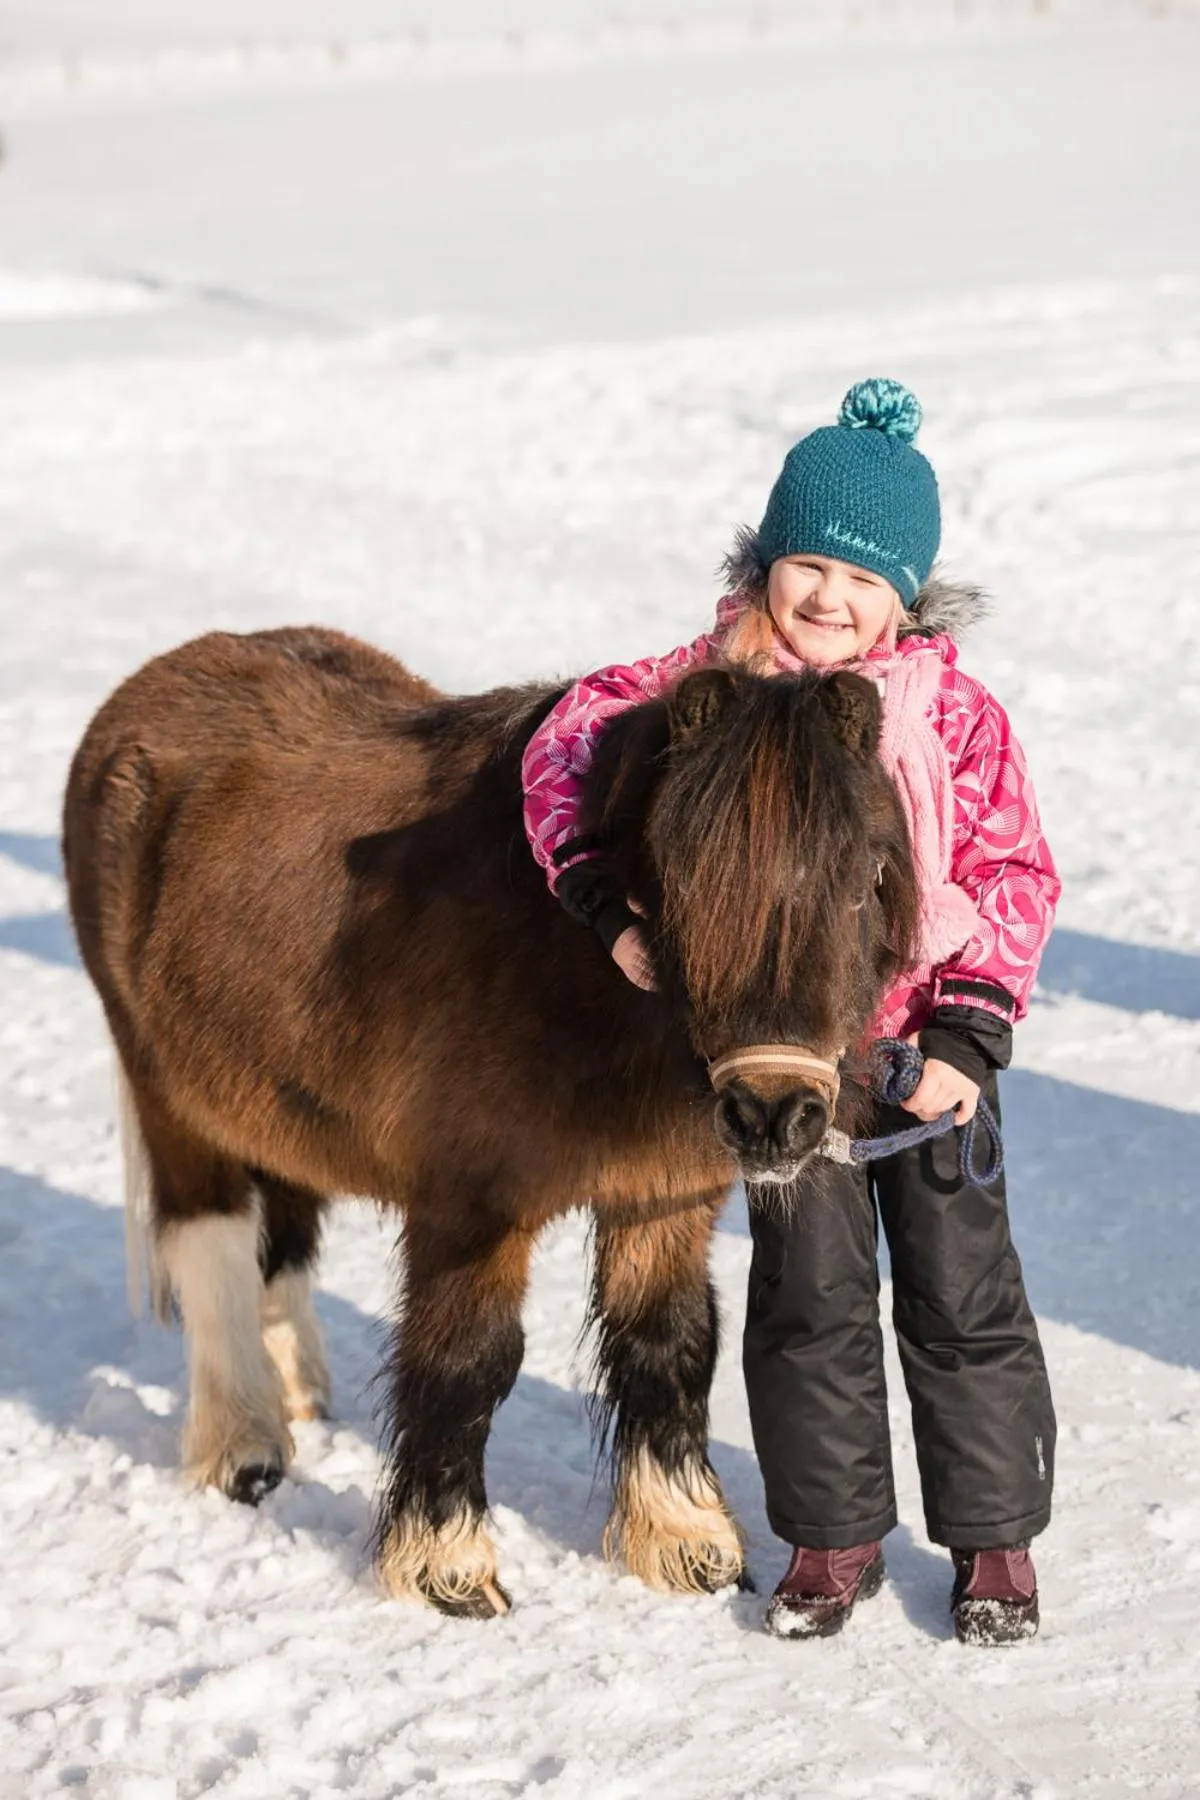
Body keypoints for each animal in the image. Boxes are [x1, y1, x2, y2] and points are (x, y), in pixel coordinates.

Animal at [62, 625, 919, 1618]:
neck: (573, 968)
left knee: (283, 1228)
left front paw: (685, 1542)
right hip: (169, 1097)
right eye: (680, 878)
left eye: (866, 874)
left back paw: (297, 1389)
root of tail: (146, 689)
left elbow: (669, 1344)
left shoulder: (663, 1197)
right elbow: (465, 1361)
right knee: (213, 1245)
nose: (774, 1113)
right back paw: (243, 1443)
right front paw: (447, 1565)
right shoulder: (470, 1207)